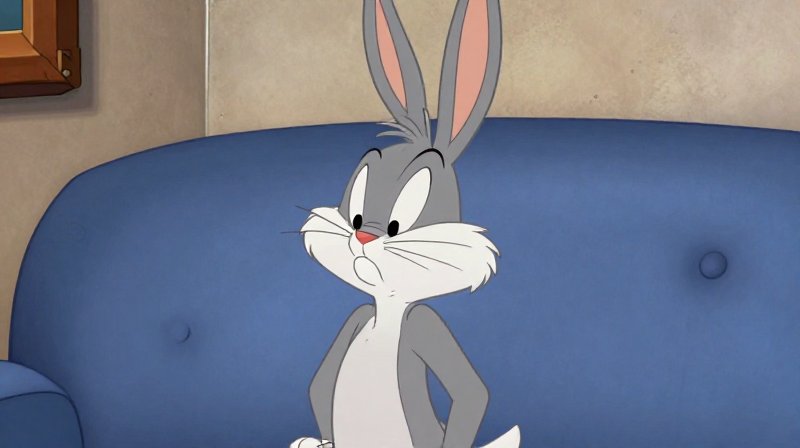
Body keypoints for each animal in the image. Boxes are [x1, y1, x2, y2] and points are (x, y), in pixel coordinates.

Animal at [291, 0, 519, 447]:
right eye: (356, 215)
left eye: (398, 224)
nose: (364, 235)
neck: (387, 315)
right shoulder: (357, 315)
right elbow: (320, 382)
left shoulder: (423, 324)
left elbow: (471, 392)